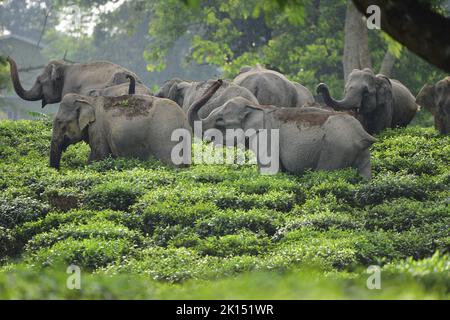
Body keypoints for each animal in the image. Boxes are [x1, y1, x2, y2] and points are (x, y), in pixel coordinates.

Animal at [49, 90, 190, 170]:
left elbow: (98, 157)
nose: (57, 170)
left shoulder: (98, 129)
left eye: (60, 122)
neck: (88, 99)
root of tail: (182, 119)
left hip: (164, 137)